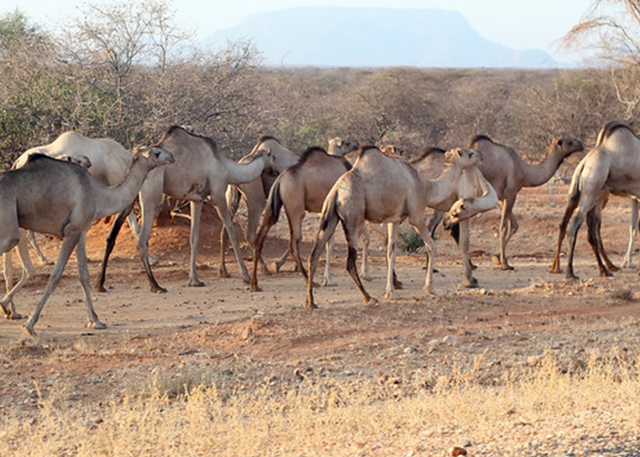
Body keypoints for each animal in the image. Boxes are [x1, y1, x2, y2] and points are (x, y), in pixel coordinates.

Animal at [0, 146, 174, 334]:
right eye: (156, 153)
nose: (171, 157)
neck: (98, 194)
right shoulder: (72, 230)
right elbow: (55, 276)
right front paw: (30, 324)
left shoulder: (81, 230)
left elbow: (84, 274)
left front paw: (95, 320)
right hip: (9, 228)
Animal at [95, 124, 276, 292]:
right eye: (272, 156)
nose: (275, 171)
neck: (225, 166)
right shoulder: (218, 194)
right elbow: (231, 231)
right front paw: (245, 277)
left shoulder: (196, 199)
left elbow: (194, 237)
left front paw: (194, 280)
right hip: (151, 197)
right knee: (141, 241)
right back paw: (155, 286)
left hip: (130, 197)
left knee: (111, 237)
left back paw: (100, 284)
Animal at [250, 144, 370, 290]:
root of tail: (280, 180)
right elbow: (334, 241)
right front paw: (330, 279)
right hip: (296, 209)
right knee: (293, 243)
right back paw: (310, 281)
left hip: (272, 205)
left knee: (259, 238)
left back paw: (255, 284)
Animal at [304, 146, 496, 308]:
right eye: (469, 153)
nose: (481, 155)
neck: (427, 187)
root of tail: (336, 192)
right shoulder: (416, 216)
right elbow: (432, 246)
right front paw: (429, 288)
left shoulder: (394, 219)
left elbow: (391, 251)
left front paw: (391, 292)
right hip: (352, 216)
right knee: (350, 262)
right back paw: (368, 297)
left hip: (329, 215)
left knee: (314, 255)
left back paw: (311, 301)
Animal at [548, 121, 640, 278]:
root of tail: (583, 164)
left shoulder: (635, 196)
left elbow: (633, 227)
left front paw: (627, 263)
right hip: (592, 192)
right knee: (576, 226)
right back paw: (571, 272)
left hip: (576, 194)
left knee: (565, 224)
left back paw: (558, 268)